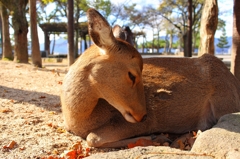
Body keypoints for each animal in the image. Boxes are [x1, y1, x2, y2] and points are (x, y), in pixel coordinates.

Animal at [60, 8, 240, 148]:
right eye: (132, 75)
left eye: (142, 70)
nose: (143, 115)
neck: (78, 118)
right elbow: (93, 138)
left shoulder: (136, 123)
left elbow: (92, 138)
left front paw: (154, 137)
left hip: (225, 103)